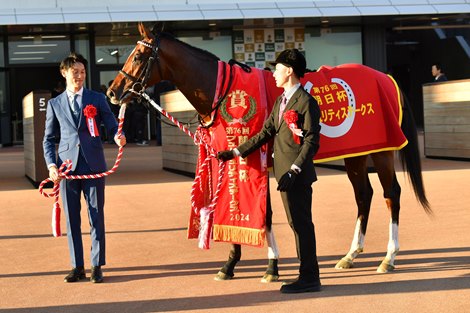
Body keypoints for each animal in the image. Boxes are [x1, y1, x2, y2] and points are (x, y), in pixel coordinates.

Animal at [108, 23, 432, 276]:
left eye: (139, 55)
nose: (113, 91)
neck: (223, 91)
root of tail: (385, 77)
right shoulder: (233, 158)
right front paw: (230, 264)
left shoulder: (254, 158)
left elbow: (262, 214)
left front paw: (271, 265)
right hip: (357, 154)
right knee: (364, 195)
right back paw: (350, 255)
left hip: (383, 150)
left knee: (392, 195)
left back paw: (389, 257)